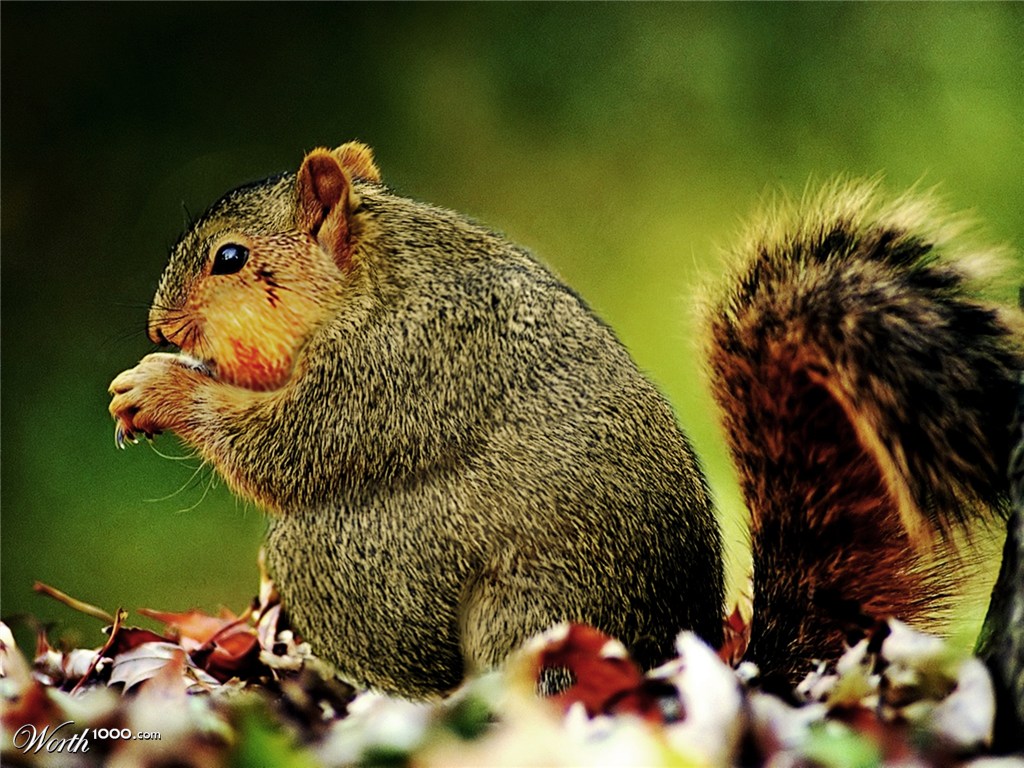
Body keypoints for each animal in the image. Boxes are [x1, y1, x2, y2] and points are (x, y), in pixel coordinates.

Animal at [108, 142, 1022, 700]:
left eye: (230, 259)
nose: (157, 326)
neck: (371, 279)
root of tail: (674, 654)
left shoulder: (399, 365)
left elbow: (293, 448)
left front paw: (161, 388)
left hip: (478, 597)